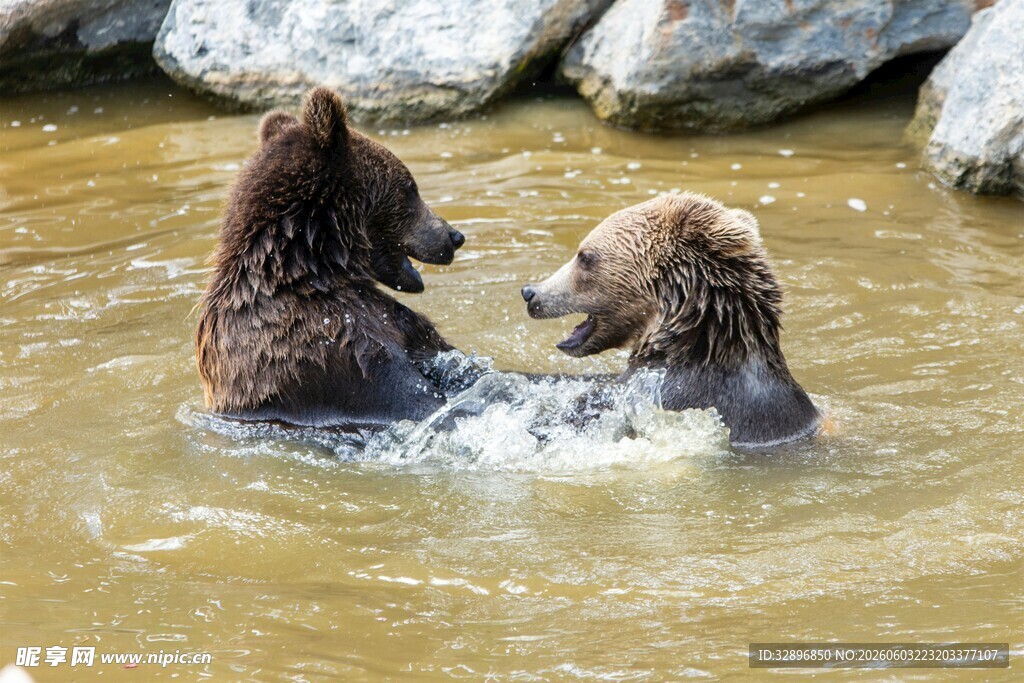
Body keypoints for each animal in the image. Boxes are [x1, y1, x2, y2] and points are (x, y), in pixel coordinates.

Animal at [195, 86, 467, 428]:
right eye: (410, 188)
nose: (454, 236)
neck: (310, 265)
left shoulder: (398, 326)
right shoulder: (328, 344)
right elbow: (405, 391)